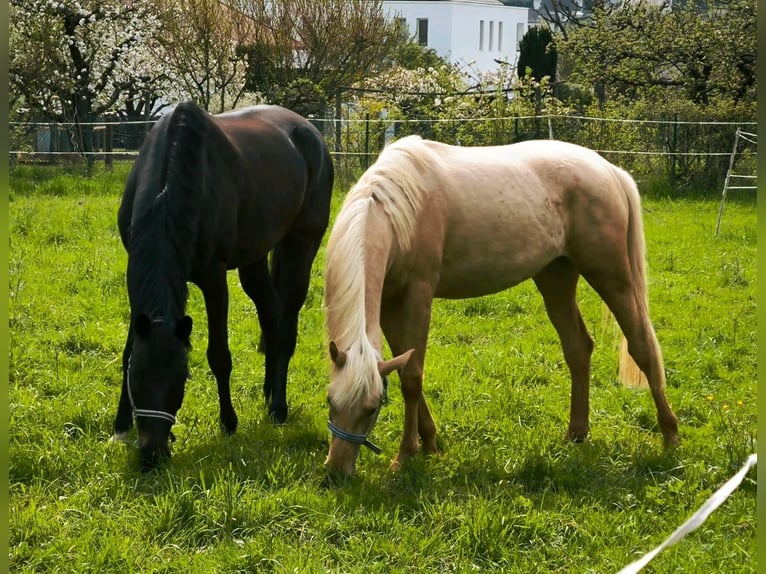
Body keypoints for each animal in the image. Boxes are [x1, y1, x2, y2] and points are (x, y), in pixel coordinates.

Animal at [112, 101, 334, 470]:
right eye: (138, 378)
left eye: (181, 378)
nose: (152, 453)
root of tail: (311, 132)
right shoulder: (134, 275)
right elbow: (129, 350)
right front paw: (119, 425)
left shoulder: (214, 279)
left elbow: (219, 355)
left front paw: (228, 423)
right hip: (254, 260)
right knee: (270, 316)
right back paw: (268, 392)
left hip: (300, 245)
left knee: (286, 325)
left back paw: (278, 407)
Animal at [322, 135, 680, 476]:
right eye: (330, 401)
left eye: (372, 408)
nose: (337, 471)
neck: (398, 210)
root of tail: (608, 170)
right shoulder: (389, 303)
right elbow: (403, 368)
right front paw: (430, 443)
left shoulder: (418, 296)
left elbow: (412, 378)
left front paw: (405, 455)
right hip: (556, 279)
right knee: (578, 348)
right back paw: (576, 434)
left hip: (611, 276)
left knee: (642, 346)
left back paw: (670, 435)